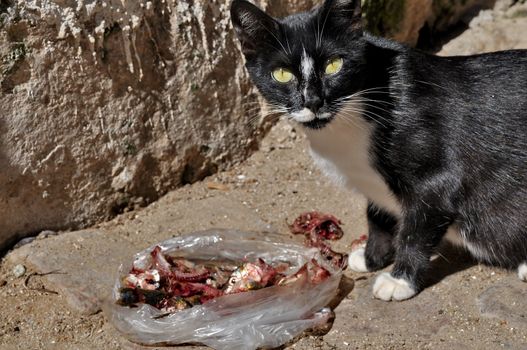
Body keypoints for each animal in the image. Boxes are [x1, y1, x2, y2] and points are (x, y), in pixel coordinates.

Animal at [231, 0, 527, 300]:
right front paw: (372, 257)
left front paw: (400, 279)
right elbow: (376, 215)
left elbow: (415, 230)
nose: (313, 101)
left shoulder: (437, 181)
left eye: (333, 65)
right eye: (282, 74)